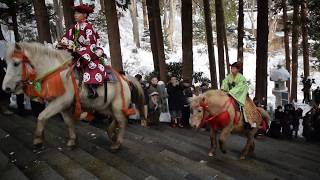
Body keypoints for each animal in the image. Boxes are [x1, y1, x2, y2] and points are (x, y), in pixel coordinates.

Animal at [2, 41, 145, 150]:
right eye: (6, 64)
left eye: (16, 63)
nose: (6, 88)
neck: (56, 73)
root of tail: (124, 79)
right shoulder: (63, 106)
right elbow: (68, 122)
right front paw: (72, 140)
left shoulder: (60, 102)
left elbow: (41, 116)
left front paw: (37, 140)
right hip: (108, 106)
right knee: (118, 118)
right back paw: (111, 134)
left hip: (117, 105)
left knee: (122, 121)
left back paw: (117, 143)